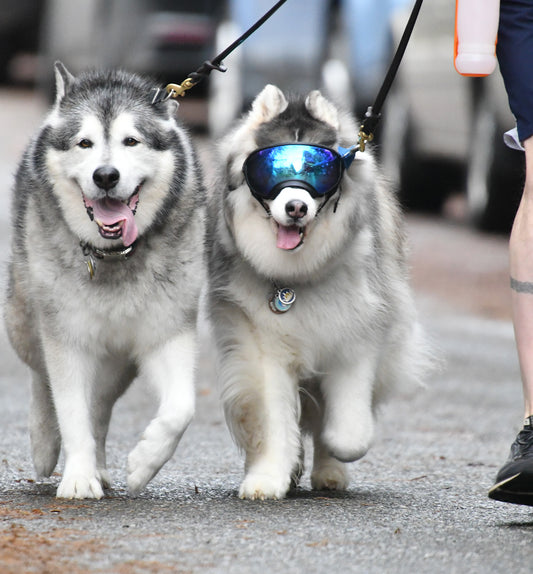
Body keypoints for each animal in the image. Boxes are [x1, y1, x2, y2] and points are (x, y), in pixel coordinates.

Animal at [5, 64, 205, 500]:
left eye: (131, 141)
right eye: (85, 143)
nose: (106, 175)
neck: (114, 256)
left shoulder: (167, 333)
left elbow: (181, 408)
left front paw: (144, 463)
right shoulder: (68, 340)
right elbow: (69, 410)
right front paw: (78, 478)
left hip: (117, 361)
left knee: (99, 407)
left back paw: (100, 464)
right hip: (24, 320)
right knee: (40, 377)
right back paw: (45, 443)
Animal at [206, 83, 430, 502]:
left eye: (319, 171)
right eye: (272, 170)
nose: (296, 207)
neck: (300, 273)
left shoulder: (354, 337)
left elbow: (347, 432)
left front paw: (336, 452)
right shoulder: (265, 347)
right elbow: (274, 418)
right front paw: (269, 477)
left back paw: (329, 473)